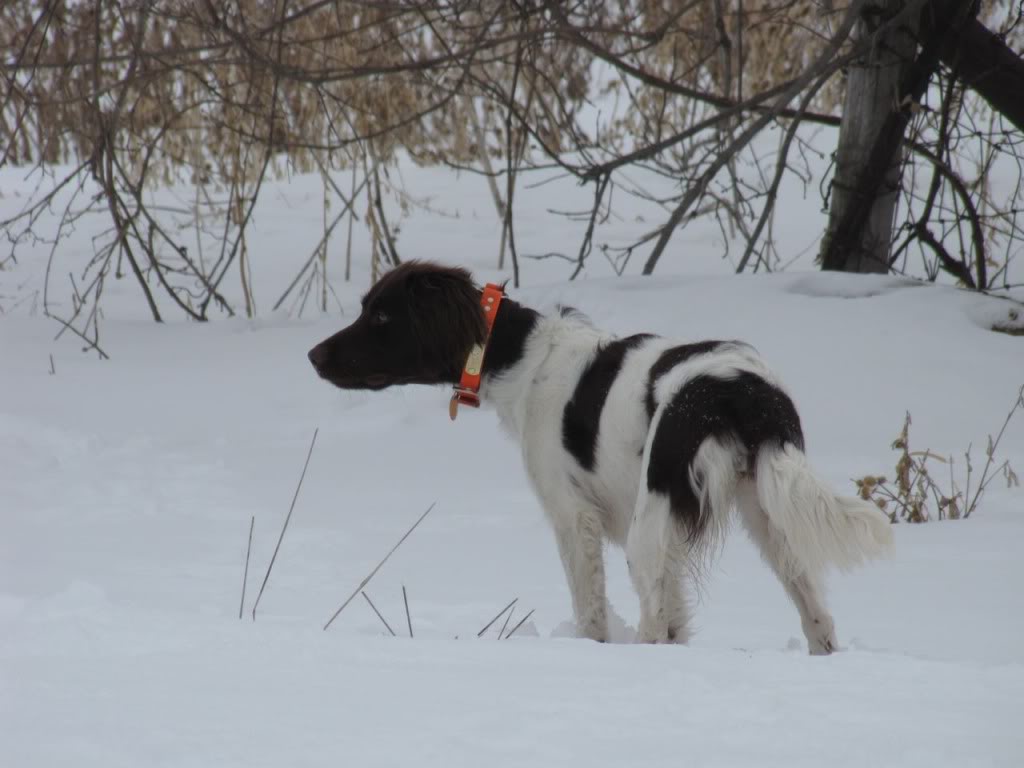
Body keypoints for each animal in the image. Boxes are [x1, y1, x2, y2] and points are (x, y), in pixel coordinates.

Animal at [307, 262, 892, 651]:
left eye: (382, 317)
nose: (312, 355)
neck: (521, 355)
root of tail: (743, 389)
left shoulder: (573, 517)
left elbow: (591, 613)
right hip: (769, 512)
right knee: (816, 615)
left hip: (649, 532)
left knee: (657, 626)